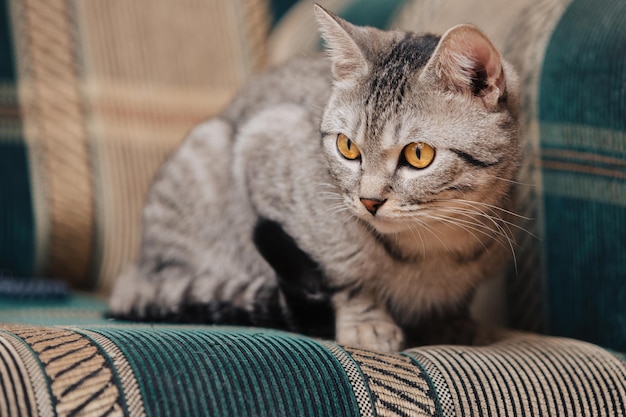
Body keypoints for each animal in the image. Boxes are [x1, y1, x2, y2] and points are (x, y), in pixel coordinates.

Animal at [108, 4, 520, 352]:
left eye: (418, 155)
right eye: (347, 147)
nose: (369, 201)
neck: (433, 246)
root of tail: (139, 271)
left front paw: (455, 322)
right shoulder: (268, 138)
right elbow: (345, 276)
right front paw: (367, 322)